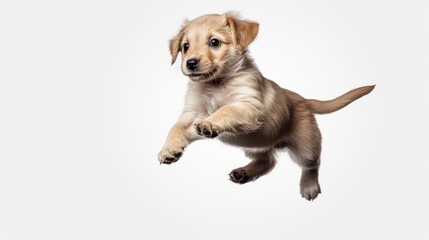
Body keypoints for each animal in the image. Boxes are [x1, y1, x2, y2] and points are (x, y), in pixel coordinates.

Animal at [157, 12, 372, 201]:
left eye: (214, 42)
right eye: (185, 46)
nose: (190, 63)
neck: (215, 85)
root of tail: (303, 98)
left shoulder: (250, 106)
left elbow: (226, 109)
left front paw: (210, 123)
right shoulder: (192, 111)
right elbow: (176, 128)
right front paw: (169, 149)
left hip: (306, 146)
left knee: (312, 165)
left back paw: (309, 186)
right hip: (256, 145)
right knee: (268, 161)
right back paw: (244, 173)